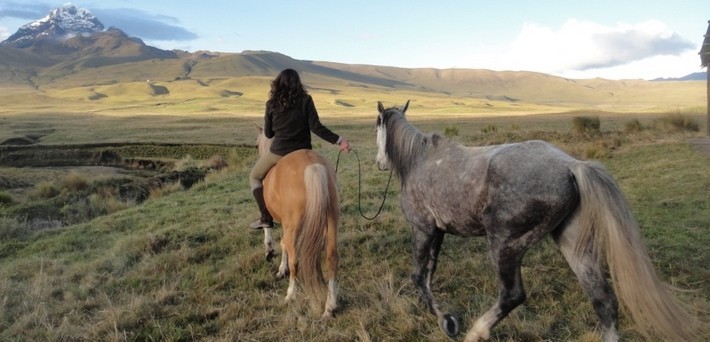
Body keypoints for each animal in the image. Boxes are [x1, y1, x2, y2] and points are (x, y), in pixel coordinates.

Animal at [258, 127, 340, 320]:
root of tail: (312, 165)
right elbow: (283, 244)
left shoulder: (283, 222)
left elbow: (275, 238)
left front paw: (275, 260)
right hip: (331, 219)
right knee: (331, 258)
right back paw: (329, 306)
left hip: (294, 226)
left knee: (295, 258)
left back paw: (290, 294)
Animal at [376, 101, 704, 342]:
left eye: (377, 127)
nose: (379, 163)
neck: (418, 161)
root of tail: (571, 165)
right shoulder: (437, 232)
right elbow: (428, 275)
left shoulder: (423, 229)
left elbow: (419, 278)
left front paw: (448, 323)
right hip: (573, 245)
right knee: (604, 301)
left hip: (504, 244)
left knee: (512, 295)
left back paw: (477, 332)